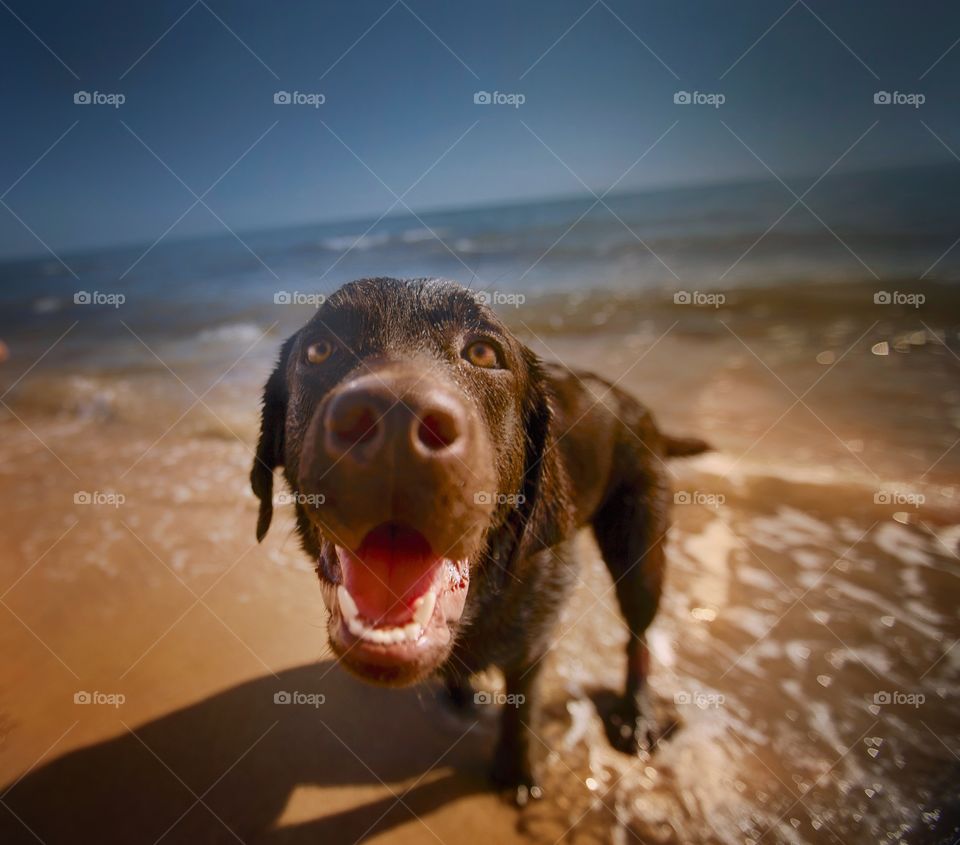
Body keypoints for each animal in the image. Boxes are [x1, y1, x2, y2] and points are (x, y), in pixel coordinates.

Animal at [251, 276, 708, 796]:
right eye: (320, 349)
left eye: (484, 353)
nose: (394, 421)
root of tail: (638, 408)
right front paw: (461, 700)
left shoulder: (534, 641)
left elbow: (521, 706)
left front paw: (515, 772)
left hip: (640, 552)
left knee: (639, 637)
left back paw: (636, 716)